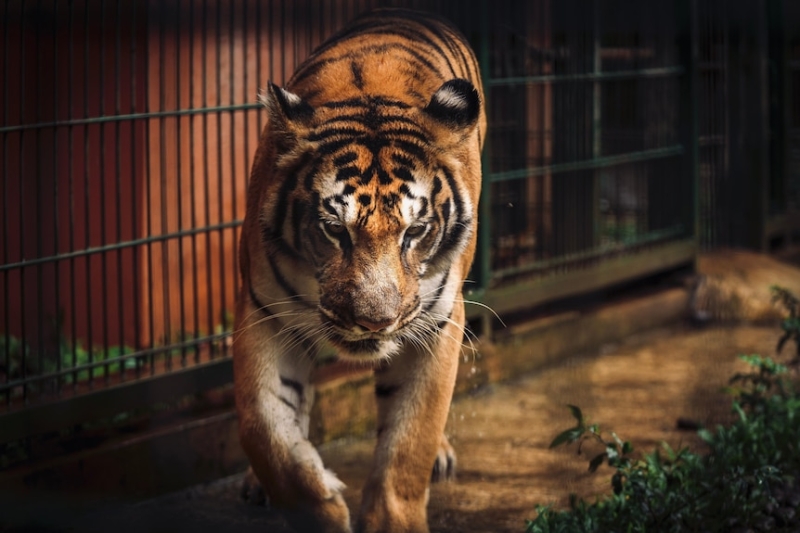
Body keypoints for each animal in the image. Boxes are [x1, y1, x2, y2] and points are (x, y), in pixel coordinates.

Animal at [231, 8, 488, 532]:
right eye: (335, 230)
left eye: (415, 232)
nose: (375, 322)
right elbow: (265, 429)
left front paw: (394, 520)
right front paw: (322, 510)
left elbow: (411, 439)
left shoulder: (438, 323)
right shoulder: (266, 315)